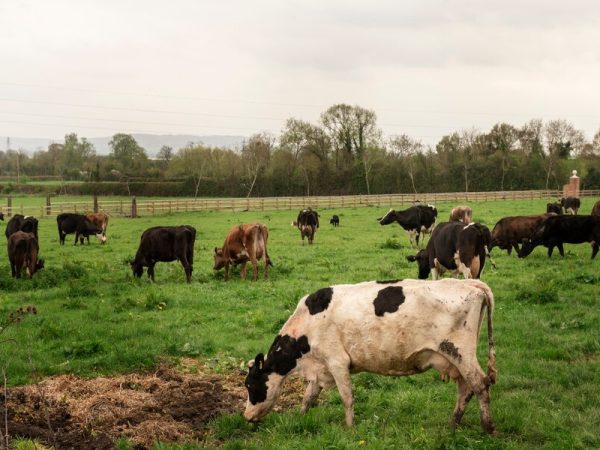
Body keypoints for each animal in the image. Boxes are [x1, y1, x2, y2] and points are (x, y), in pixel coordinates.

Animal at [243, 280, 496, 434]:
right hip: (456, 359)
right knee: (465, 389)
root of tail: (470, 282)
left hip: (460, 352)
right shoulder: (320, 368)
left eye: (250, 385)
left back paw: (488, 427)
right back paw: (453, 425)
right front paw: (300, 418)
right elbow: (308, 397)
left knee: (480, 385)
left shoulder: (337, 361)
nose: (246, 416)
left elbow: (346, 397)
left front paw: (349, 428)